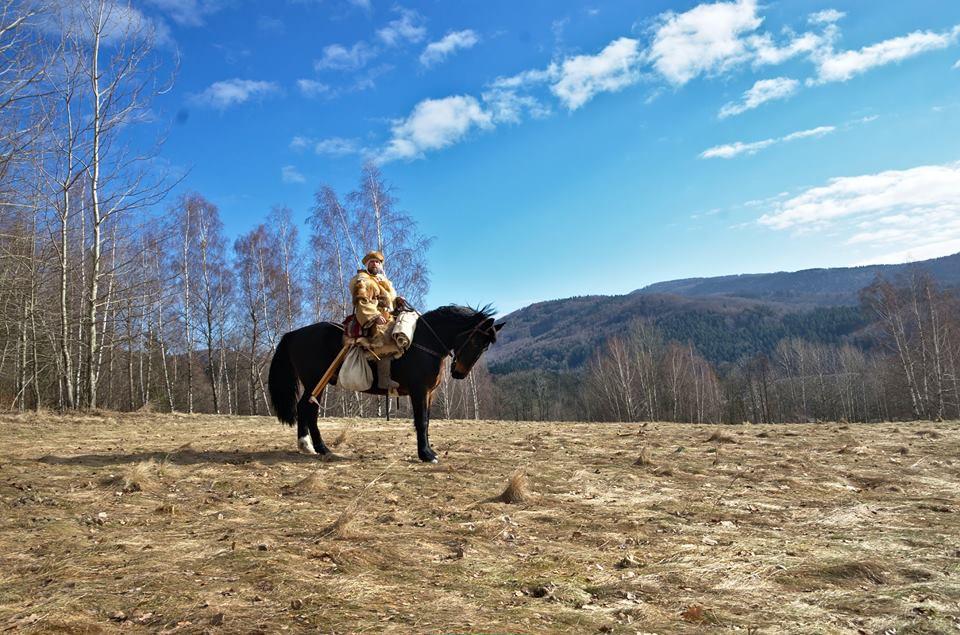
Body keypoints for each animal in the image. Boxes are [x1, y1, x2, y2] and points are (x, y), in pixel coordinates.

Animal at [262, 306, 502, 462]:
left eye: (485, 346)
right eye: (476, 341)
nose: (459, 373)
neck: (424, 342)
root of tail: (294, 334)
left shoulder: (429, 394)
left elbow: (427, 422)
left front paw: (429, 451)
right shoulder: (419, 391)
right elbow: (421, 421)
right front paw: (425, 454)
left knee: (304, 407)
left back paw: (307, 445)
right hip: (315, 382)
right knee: (308, 409)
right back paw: (320, 447)